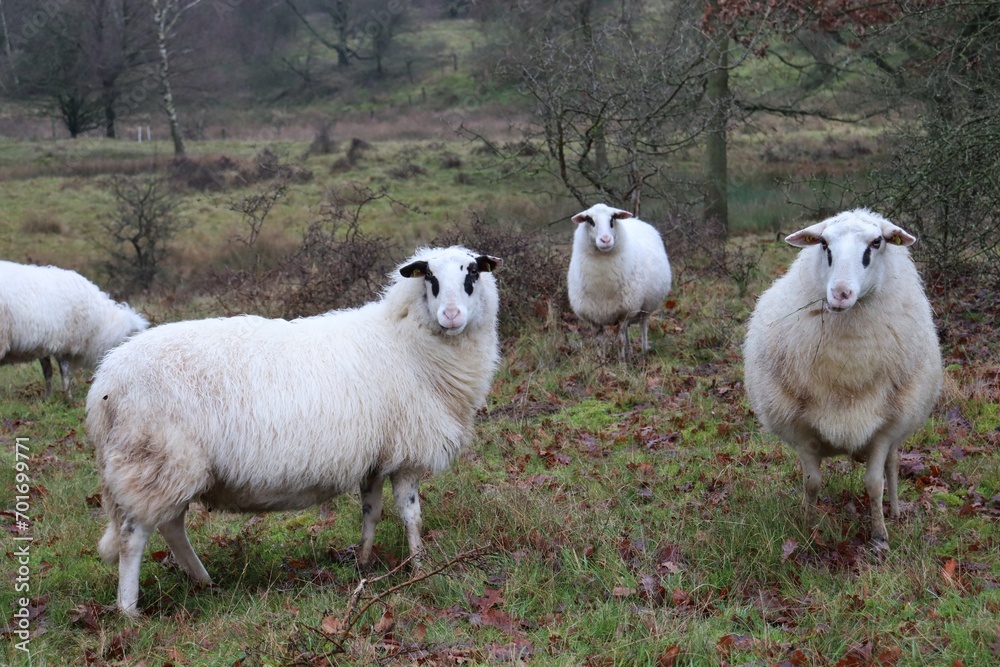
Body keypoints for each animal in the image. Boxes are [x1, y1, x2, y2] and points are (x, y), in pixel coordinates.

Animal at [0, 260, 148, 396]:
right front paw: (67, 395)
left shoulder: (44, 343)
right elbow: (64, 372)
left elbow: (48, 371)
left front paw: (48, 397)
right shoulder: (66, 343)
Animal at [86, 245, 502, 616]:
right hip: (155, 459)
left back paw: (204, 581)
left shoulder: (375, 455)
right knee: (134, 537)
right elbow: (411, 515)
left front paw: (365, 562)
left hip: (167, 466)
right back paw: (129, 610)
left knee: (170, 526)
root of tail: (105, 383)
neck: (405, 342)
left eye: (472, 273)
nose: (451, 316)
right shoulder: (407, 452)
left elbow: (371, 512)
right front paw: (419, 568)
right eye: (430, 278)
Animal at [567, 203, 672, 359]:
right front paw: (602, 362)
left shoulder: (625, 312)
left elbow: (620, 341)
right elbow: (600, 343)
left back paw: (643, 351)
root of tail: (636, 219)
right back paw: (630, 351)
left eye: (612, 220)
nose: (605, 240)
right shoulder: (594, 317)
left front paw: (622, 363)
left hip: (645, 307)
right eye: (590, 220)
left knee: (643, 327)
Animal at [743, 209, 942, 551]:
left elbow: (874, 484)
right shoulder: (802, 428)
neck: (847, 364)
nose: (840, 293)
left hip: (901, 421)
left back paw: (895, 510)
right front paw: (808, 526)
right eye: (824, 244)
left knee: (892, 466)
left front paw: (880, 535)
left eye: (876, 243)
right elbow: (812, 484)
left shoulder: (884, 428)